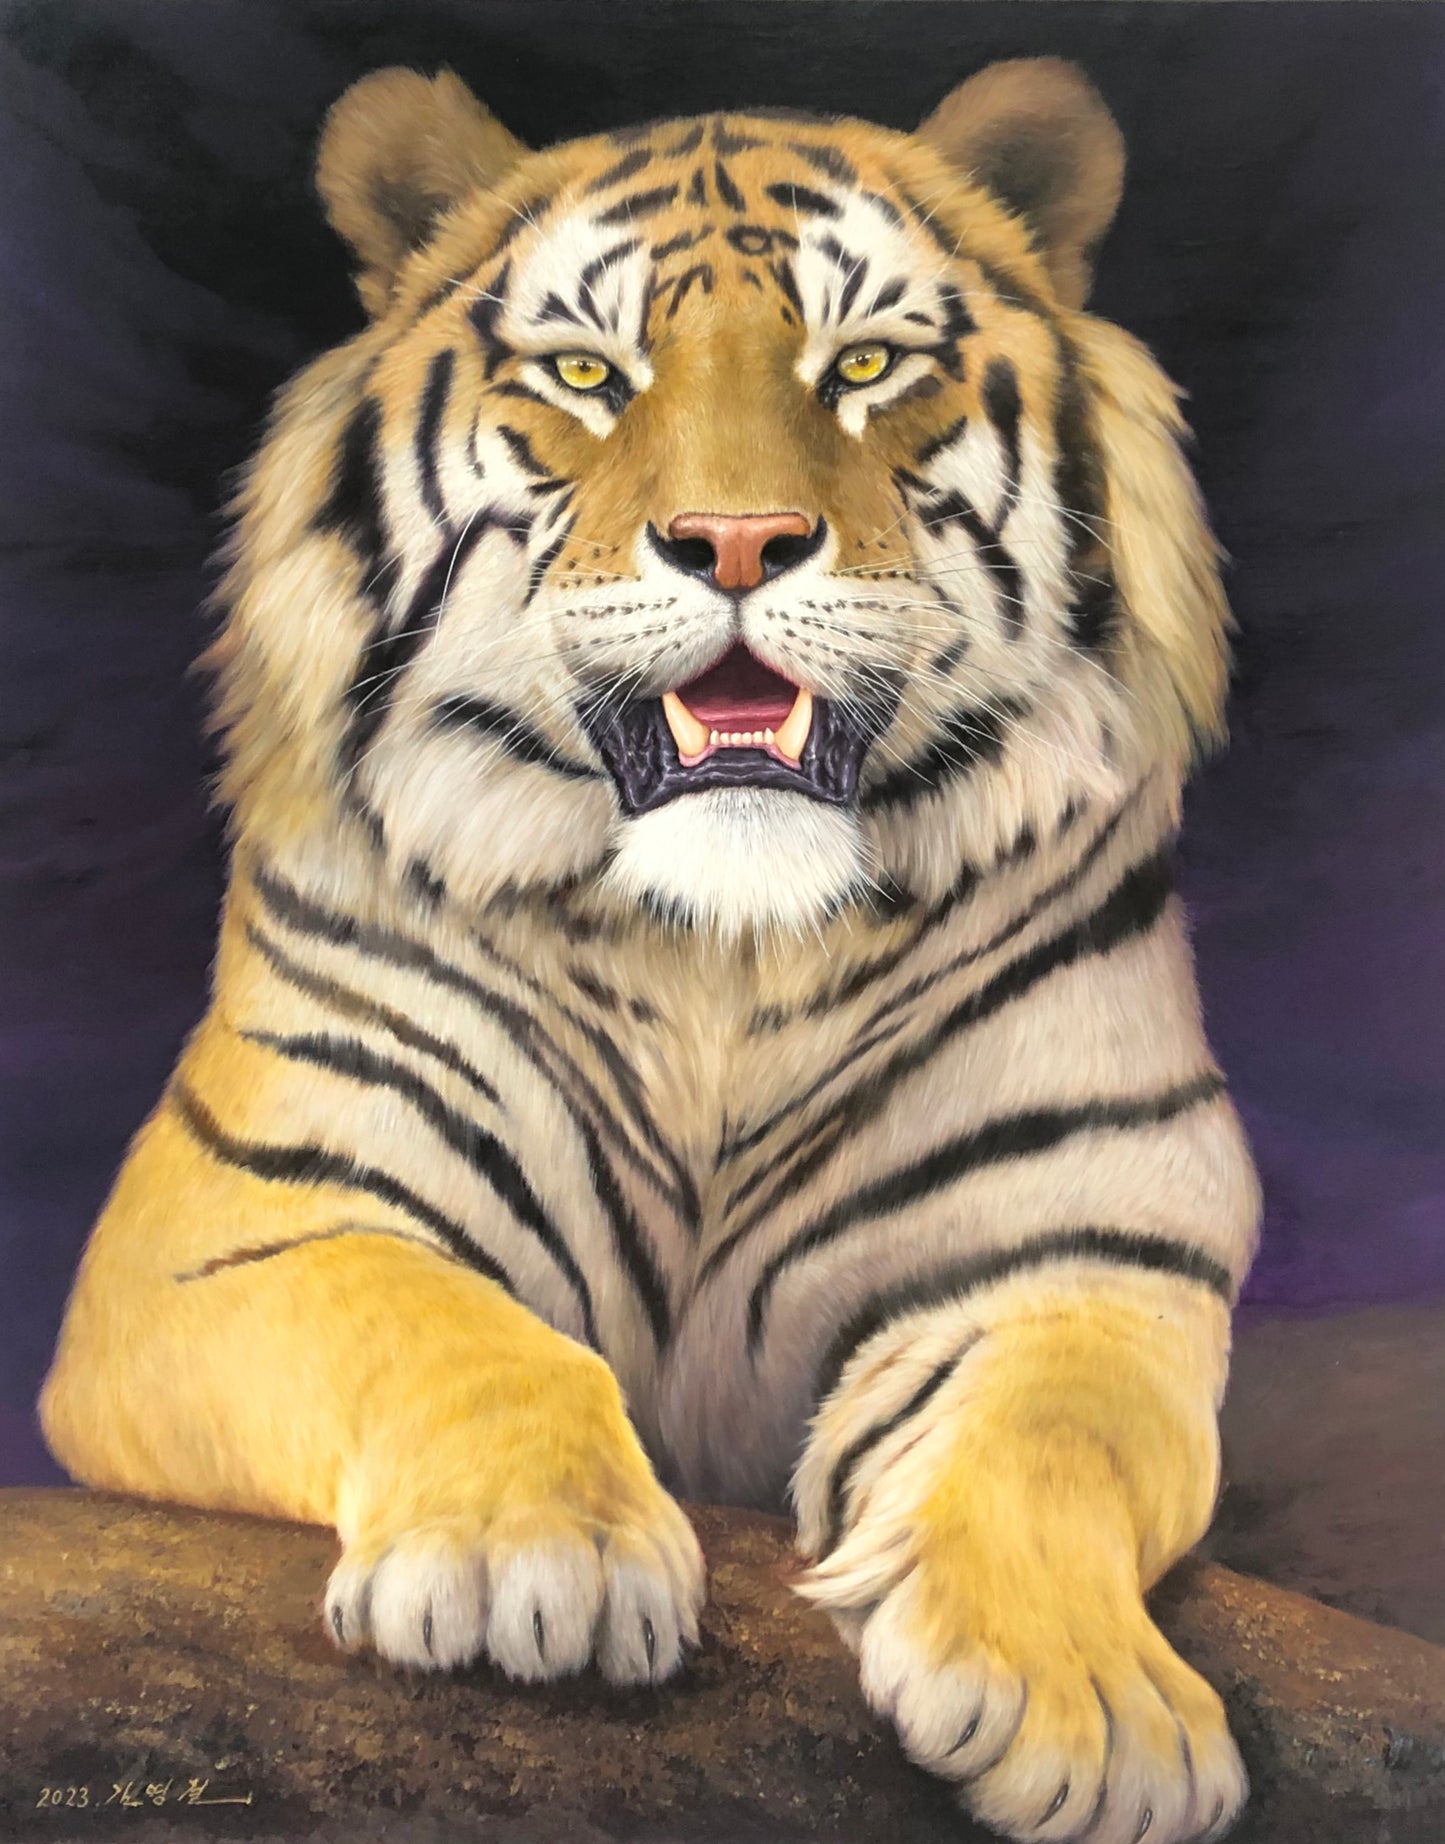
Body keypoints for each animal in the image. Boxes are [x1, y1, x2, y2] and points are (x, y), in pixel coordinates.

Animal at [40, 55, 1261, 1844]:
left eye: (865, 364)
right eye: (585, 375)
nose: (736, 541)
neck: (726, 959)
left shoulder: (1085, 1257)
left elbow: (1053, 1437)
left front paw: (1090, 1717)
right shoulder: (231, 1226)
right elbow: (445, 1324)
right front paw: (525, 1558)